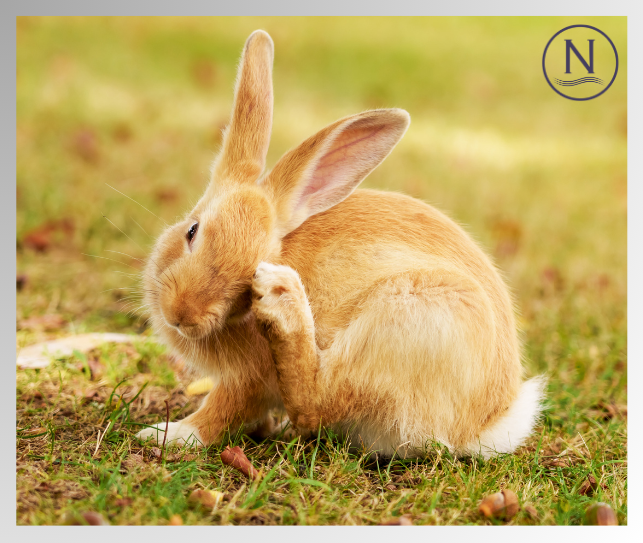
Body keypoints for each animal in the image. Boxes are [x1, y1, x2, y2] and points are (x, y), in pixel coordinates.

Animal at [136, 29, 546, 460]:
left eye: (252, 272)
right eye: (192, 231)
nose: (182, 314)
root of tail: (484, 424)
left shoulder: (248, 379)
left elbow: (221, 413)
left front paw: (166, 434)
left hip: (404, 320)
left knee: (317, 403)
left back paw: (284, 300)